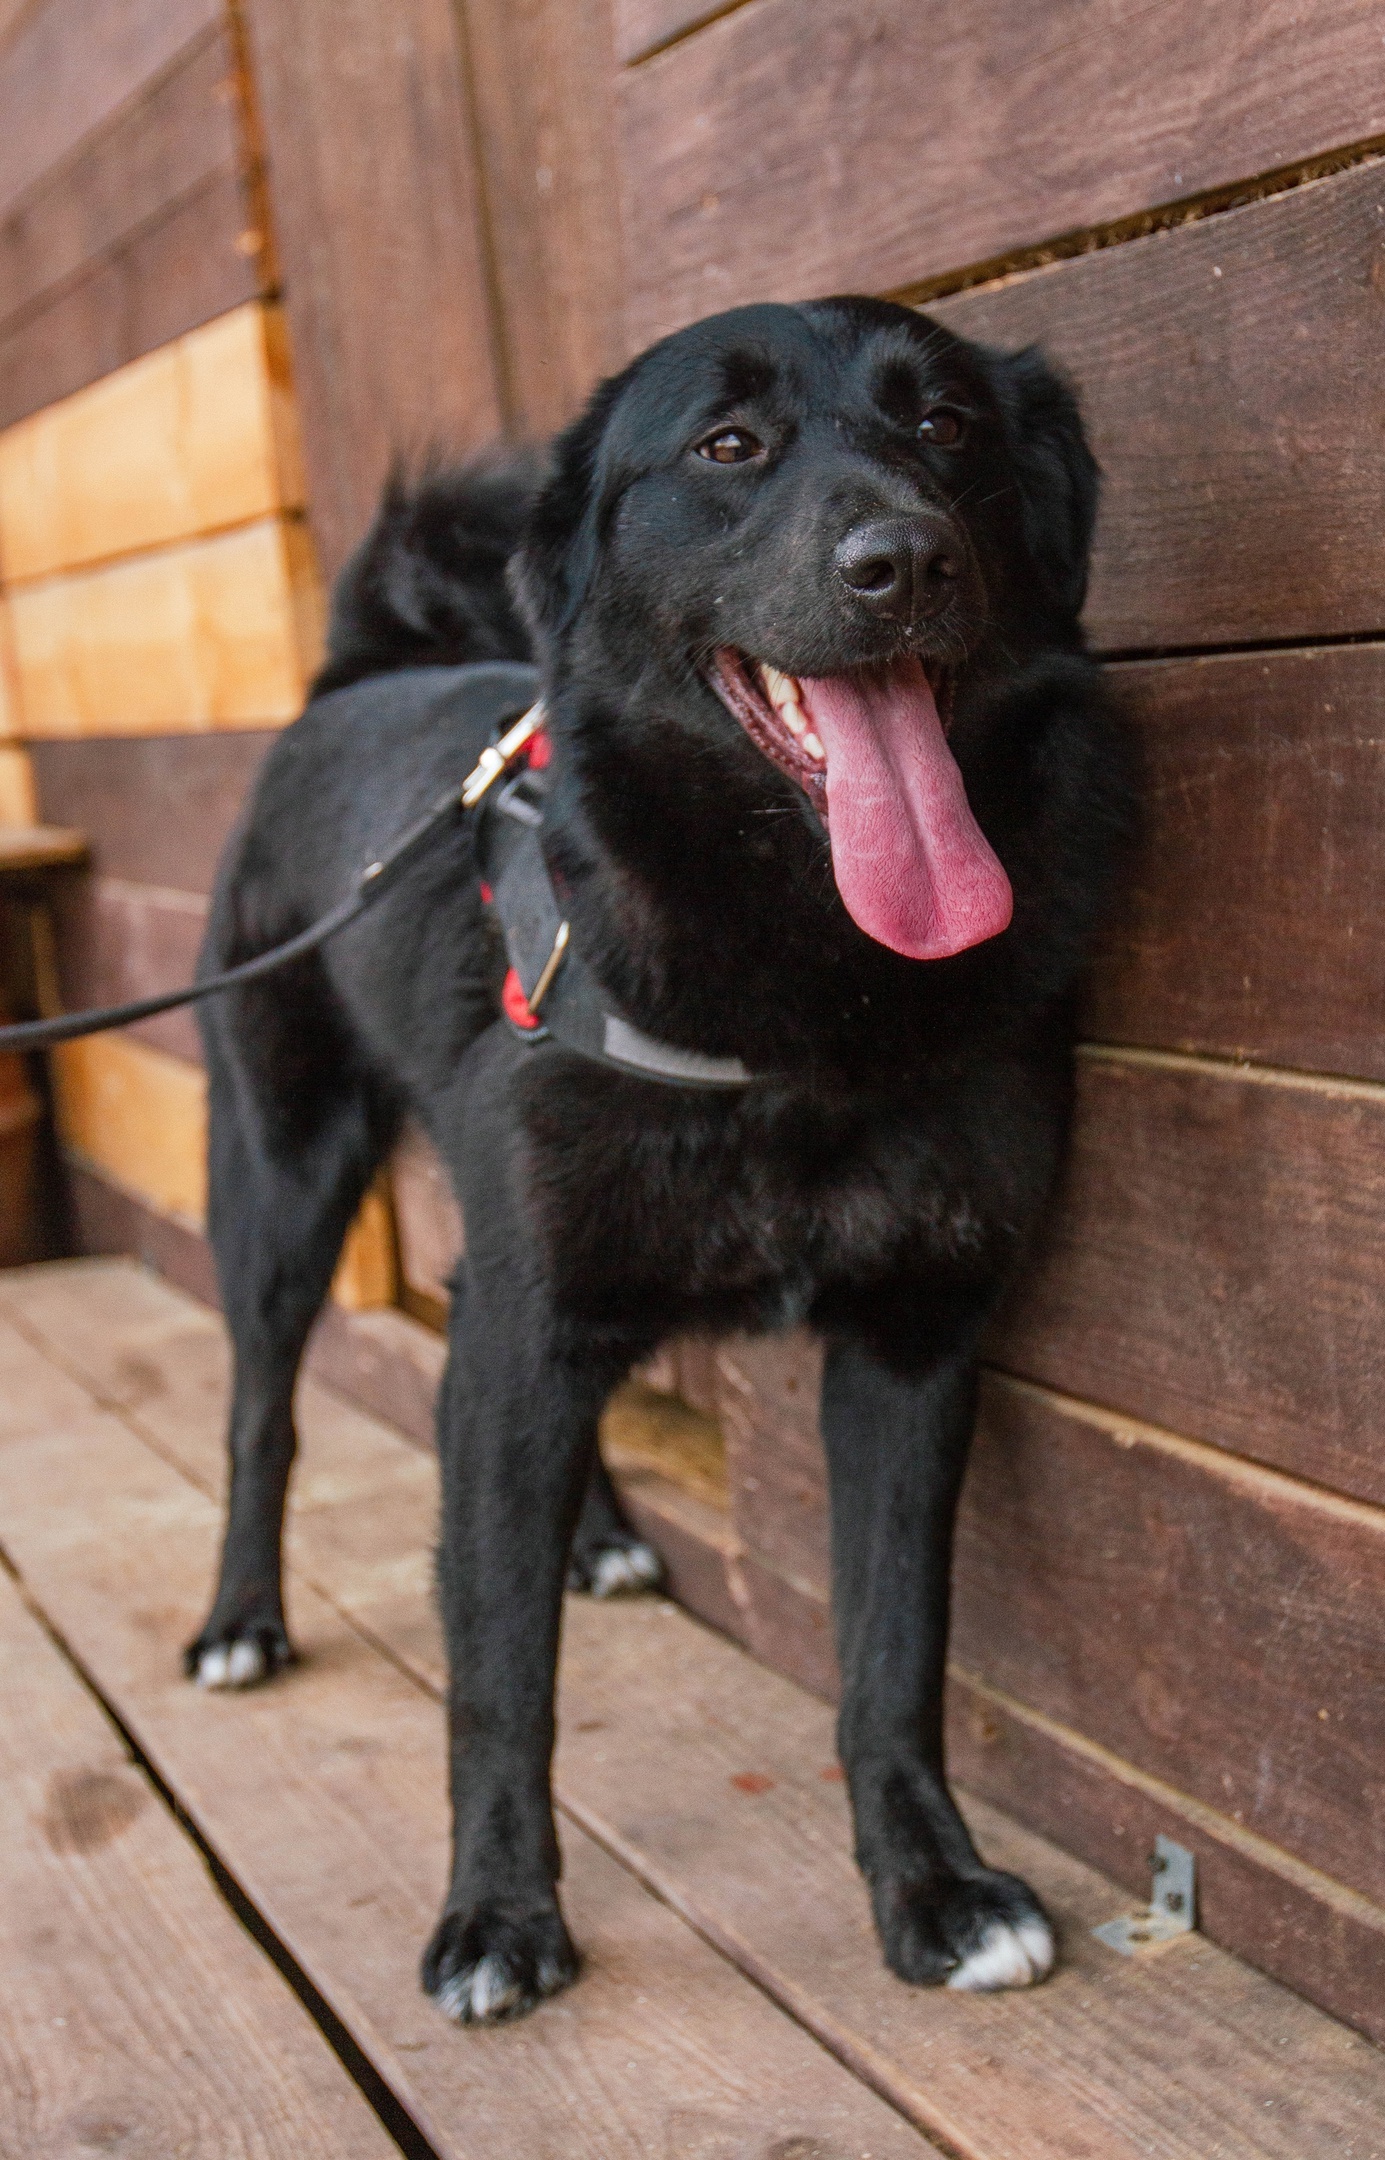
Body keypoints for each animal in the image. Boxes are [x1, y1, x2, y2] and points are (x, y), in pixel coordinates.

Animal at [189, 300, 1132, 2021]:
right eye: (727, 446)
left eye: (948, 426)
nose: (904, 559)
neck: (804, 972)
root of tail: (355, 676)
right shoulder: (524, 1326)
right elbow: (497, 1669)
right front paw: (497, 1917)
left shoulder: (910, 1343)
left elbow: (892, 1652)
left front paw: (933, 1890)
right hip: (284, 1176)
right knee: (260, 1410)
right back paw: (242, 1617)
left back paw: (606, 1532)